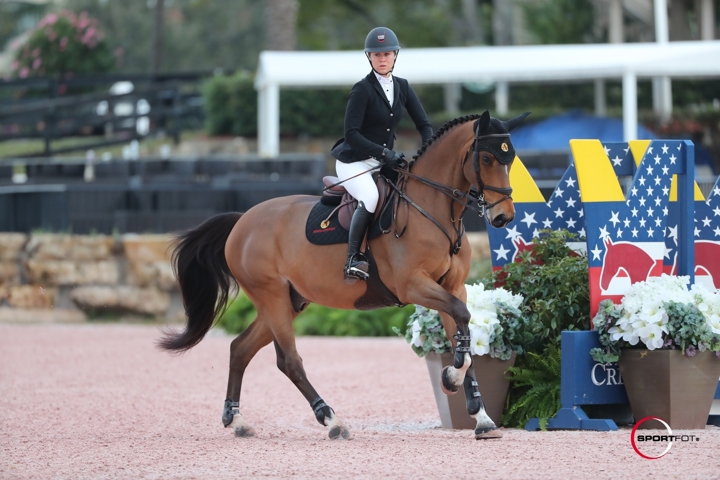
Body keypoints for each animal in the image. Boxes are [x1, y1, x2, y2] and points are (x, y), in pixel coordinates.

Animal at [158, 110, 528, 440]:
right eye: (486, 158)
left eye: (509, 159)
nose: (503, 218)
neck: (435, 210)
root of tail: (242, 220)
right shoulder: (412, 286)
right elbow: (462, 320)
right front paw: (451, 377)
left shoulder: (452, 287)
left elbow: (462, 331)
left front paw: (480, 417)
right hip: (271, 296)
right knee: (288, 360)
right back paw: (331, 420)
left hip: (288, 301)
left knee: (240, 349)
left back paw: (236, 421)